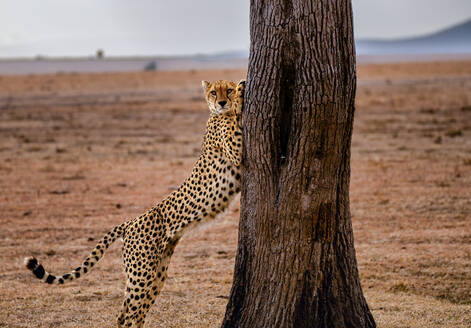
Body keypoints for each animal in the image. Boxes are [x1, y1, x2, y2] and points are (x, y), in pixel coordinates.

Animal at [24, 79, 247, 328]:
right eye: (214, 92)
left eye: (226, 90)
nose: (222, 102)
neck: (214, 115)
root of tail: (130, 222)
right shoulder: (235, 151)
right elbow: (236, 123)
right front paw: (241, 92)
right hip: (142, 273)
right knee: (126, 315)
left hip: (156, 274)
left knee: (134, 313)